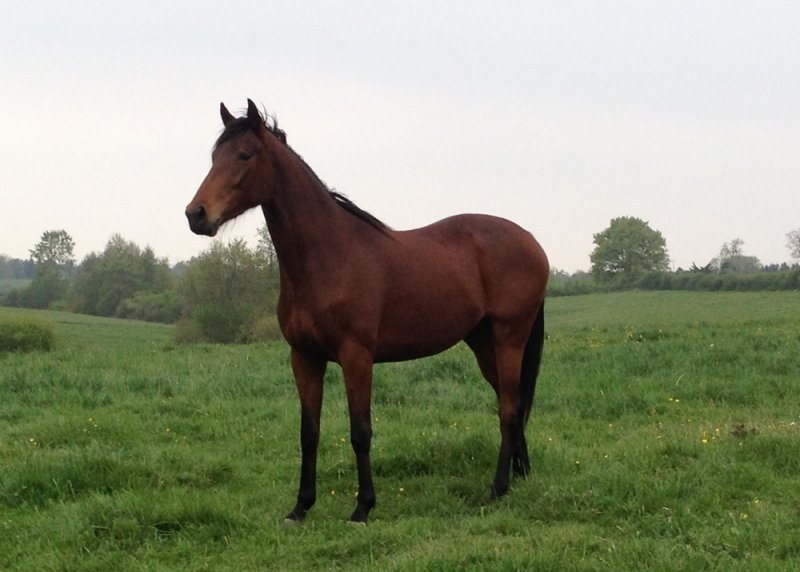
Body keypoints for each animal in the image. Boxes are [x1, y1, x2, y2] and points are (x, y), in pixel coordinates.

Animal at [185, 100, 549, 524]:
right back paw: (522, 474)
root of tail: (531, 241)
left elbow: (360, 431)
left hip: (509, 337)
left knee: (508, 407)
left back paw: (498, 487)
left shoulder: (356, 357)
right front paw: (301, 506)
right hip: (482, 342)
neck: (328, 257)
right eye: (214, 157)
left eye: (244, 154)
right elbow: (308, 433)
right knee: (515, 404)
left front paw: (362, 507)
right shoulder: (304, 358)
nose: (196, 214)